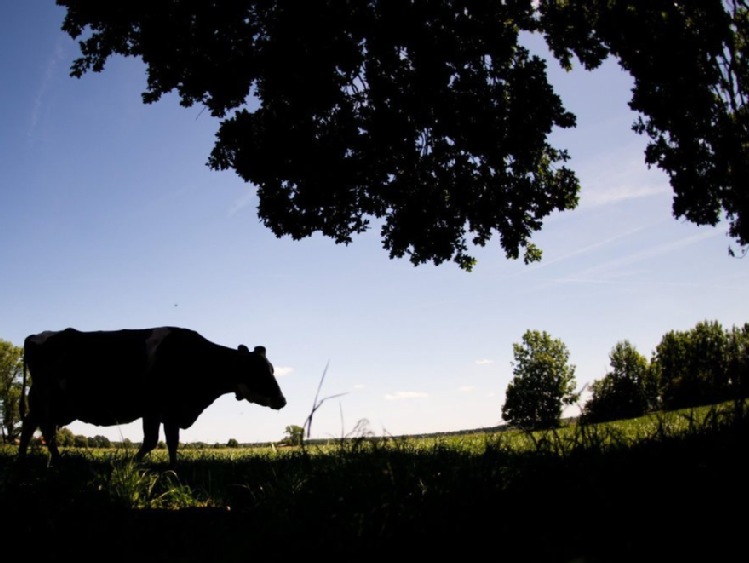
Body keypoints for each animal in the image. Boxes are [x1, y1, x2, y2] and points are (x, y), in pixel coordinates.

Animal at [18, 326, 286, 468]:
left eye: (272, 369)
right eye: (257, 371)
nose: (282, 401)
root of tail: (36, 336)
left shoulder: (169, 411)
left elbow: (171, 442)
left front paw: (173, 468)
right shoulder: (156, 408)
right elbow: (152, 441)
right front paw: (132, 464)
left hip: (51, 405)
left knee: (32, 427)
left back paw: (28, 459)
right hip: (48, 401)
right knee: (45, 431)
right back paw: (55, 462)